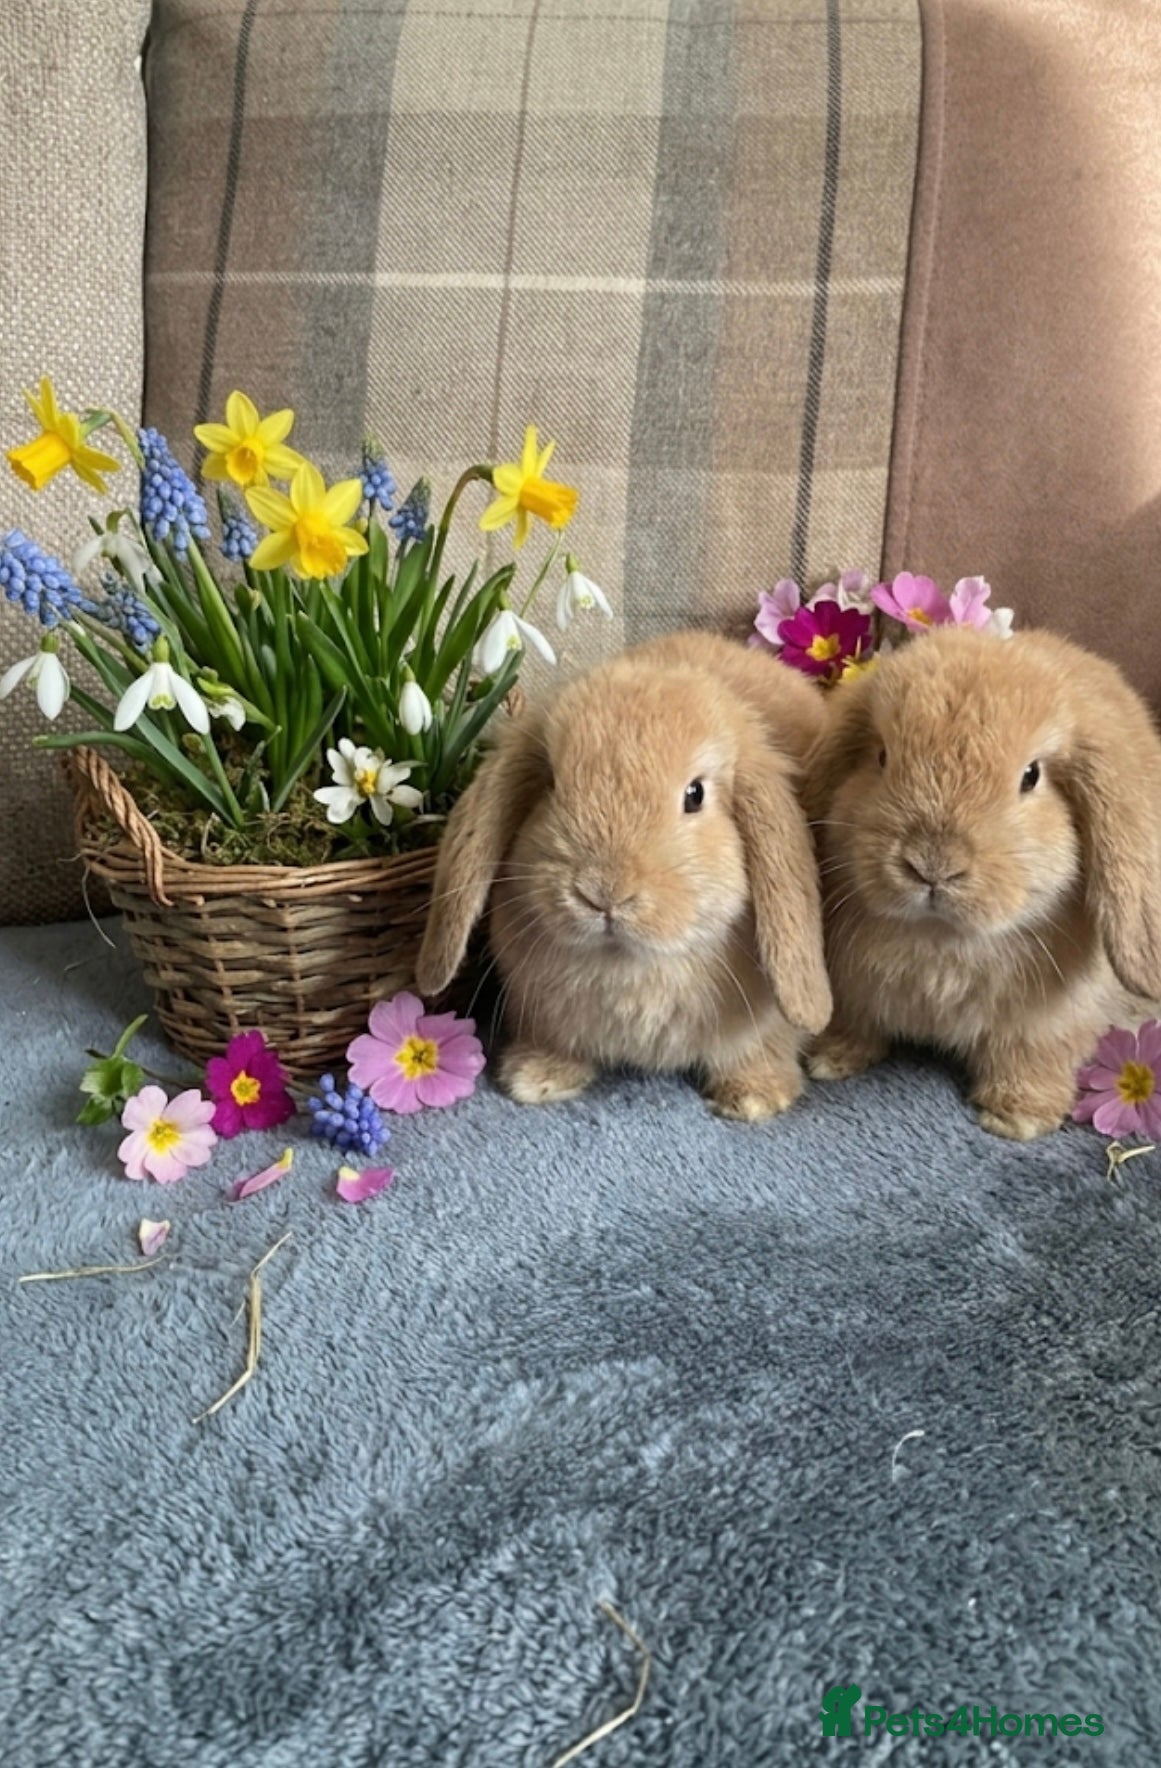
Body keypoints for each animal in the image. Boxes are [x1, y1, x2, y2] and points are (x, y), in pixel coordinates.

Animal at [415, 630, 832, 1118]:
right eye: (551, 784)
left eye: (695, 794)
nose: (603, 893)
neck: (628, 965)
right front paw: (535, 1078)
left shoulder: (763, 1026)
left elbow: (760, 1049)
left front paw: (753, 1099)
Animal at [802, 624, 1161, 1139]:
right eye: (882, 757)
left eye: (1031, 776)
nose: (932, 865)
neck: (942, 939)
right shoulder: (852, 995)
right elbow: (854, 1024)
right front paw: (830, 1061)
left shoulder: (1046, 1025)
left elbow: (1030, 1060)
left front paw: (1017, 1119)